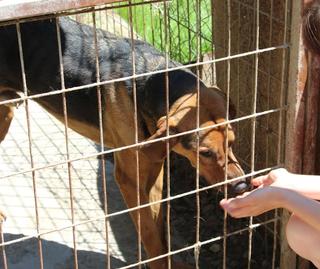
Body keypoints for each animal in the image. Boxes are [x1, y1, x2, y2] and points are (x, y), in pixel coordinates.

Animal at [0, 17, 249, 266]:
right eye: (205, 152)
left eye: (233, 142)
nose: (242, 186)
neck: (152, 78)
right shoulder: (129, 179)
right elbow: (149, 233)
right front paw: (159, 263)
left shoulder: (154, 170)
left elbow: (158, 227)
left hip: (5, 114)